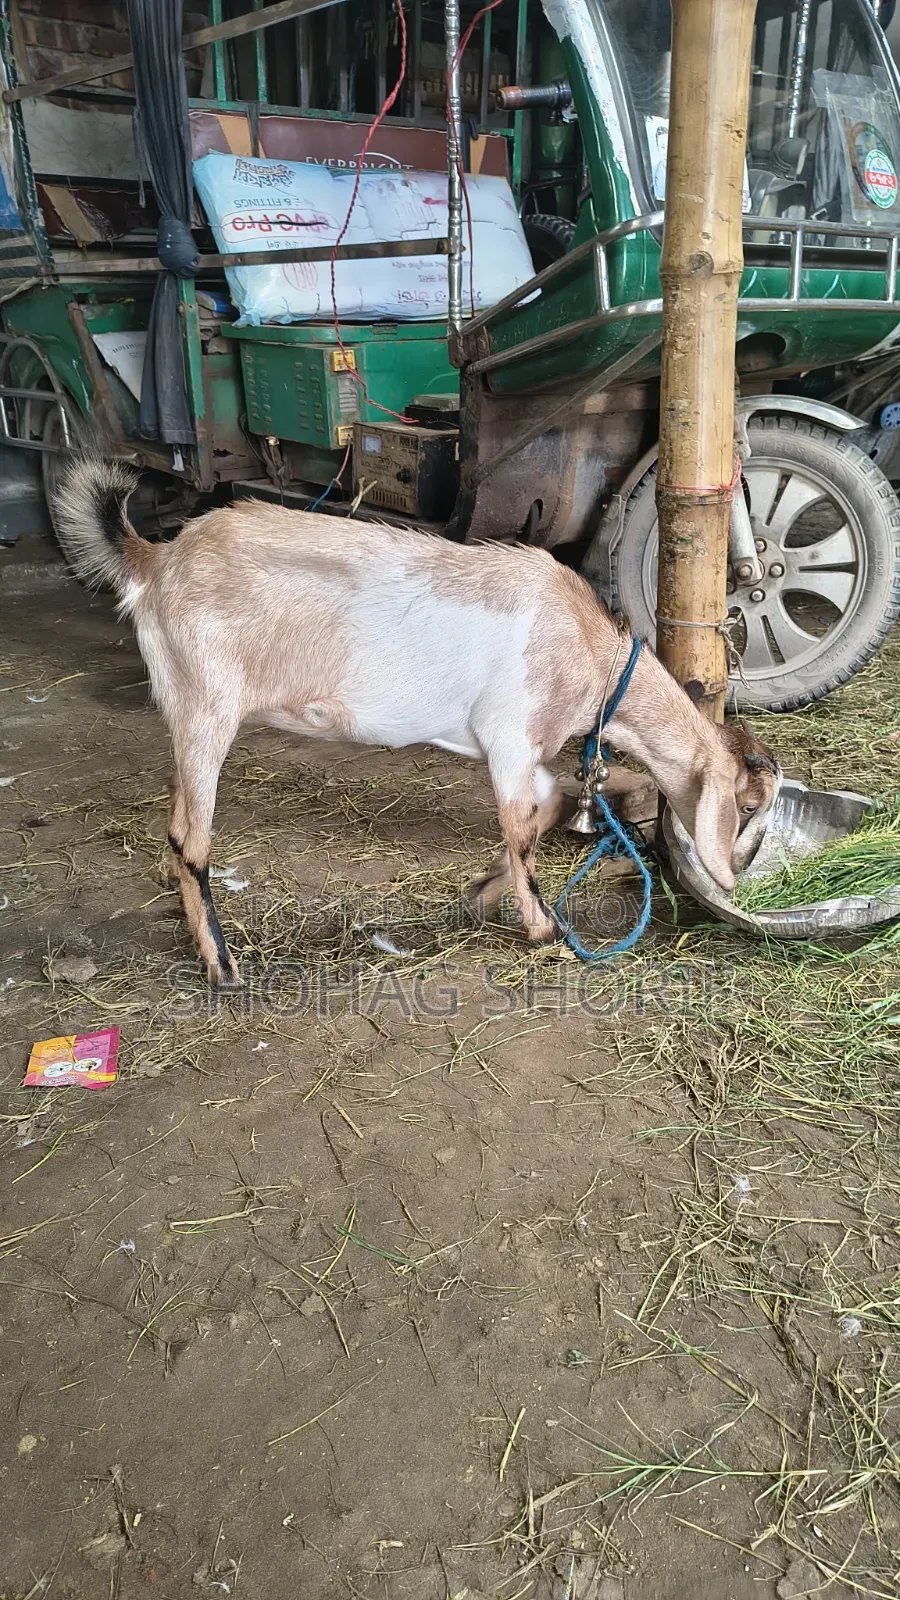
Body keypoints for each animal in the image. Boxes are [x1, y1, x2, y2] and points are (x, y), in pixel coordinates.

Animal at [55, 455, 781, 986]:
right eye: (747, 805)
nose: (741, 876)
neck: (592, 649)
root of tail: (157, 558)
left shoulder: (513, 747)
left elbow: (547, 808)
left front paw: (480, 893)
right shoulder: (511, 736)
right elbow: (524, 829)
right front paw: (545, 928)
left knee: (175, 824)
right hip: (205, 704)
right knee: (190, 837)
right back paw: (222, 964)